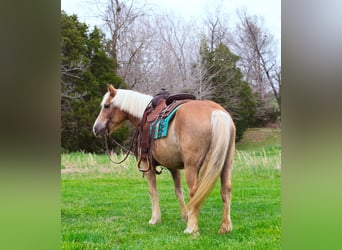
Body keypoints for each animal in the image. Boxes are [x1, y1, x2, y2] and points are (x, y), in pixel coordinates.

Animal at [92, 84, 236, 234]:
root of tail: (216, 112)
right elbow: (178, 191)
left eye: (106, 106)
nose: (96, 128)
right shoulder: (173, 166)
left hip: (192, 167)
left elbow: (153, 191)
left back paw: (191, 228)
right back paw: (225, 227)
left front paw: (155, 219)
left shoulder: (147, 164)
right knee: (226, 190)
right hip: (226, 164)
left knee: (195, 192)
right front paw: (185, 215)